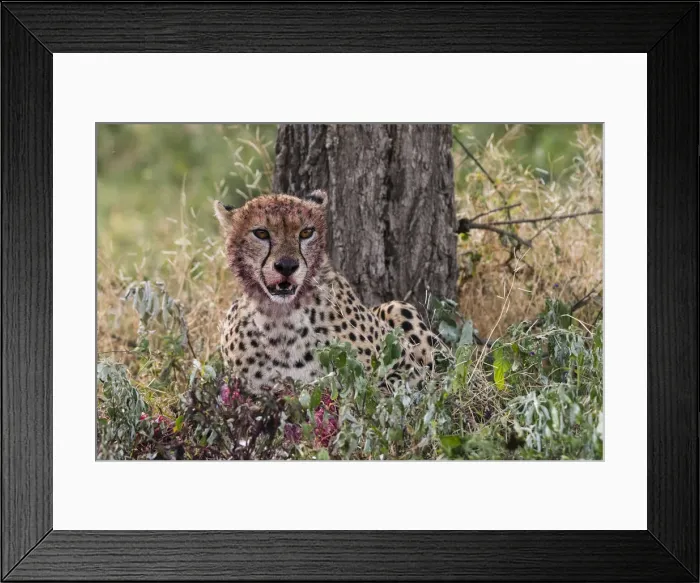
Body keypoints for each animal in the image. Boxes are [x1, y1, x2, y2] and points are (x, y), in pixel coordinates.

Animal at [214, 189, 438, 393]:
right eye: (261, 233)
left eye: (306, 233)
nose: (287, 266)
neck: (281, 319)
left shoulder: (410, 372)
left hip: (398, 306)